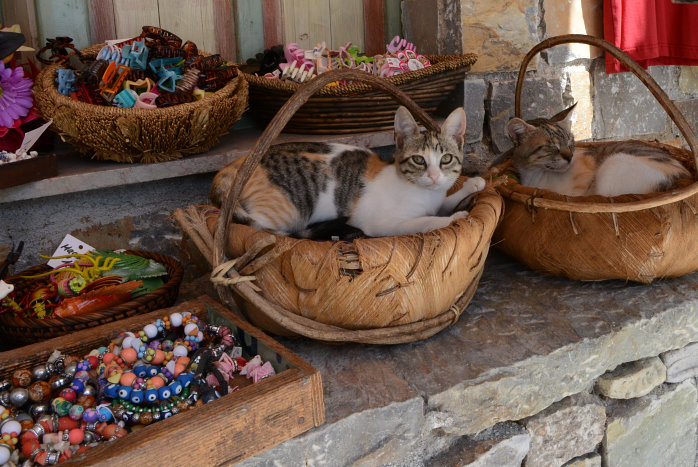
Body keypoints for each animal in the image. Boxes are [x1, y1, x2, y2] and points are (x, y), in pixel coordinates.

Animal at [209, 106, 486, 238]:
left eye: (446, 159)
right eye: (419, 160)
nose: (433, 176)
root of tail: (237, 164)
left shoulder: (437, 197)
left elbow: (446, 199)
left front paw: (473, 184)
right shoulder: (382, 224)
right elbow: (425, 221)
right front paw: (453, 218)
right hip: (288, 212)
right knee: (261, 228)